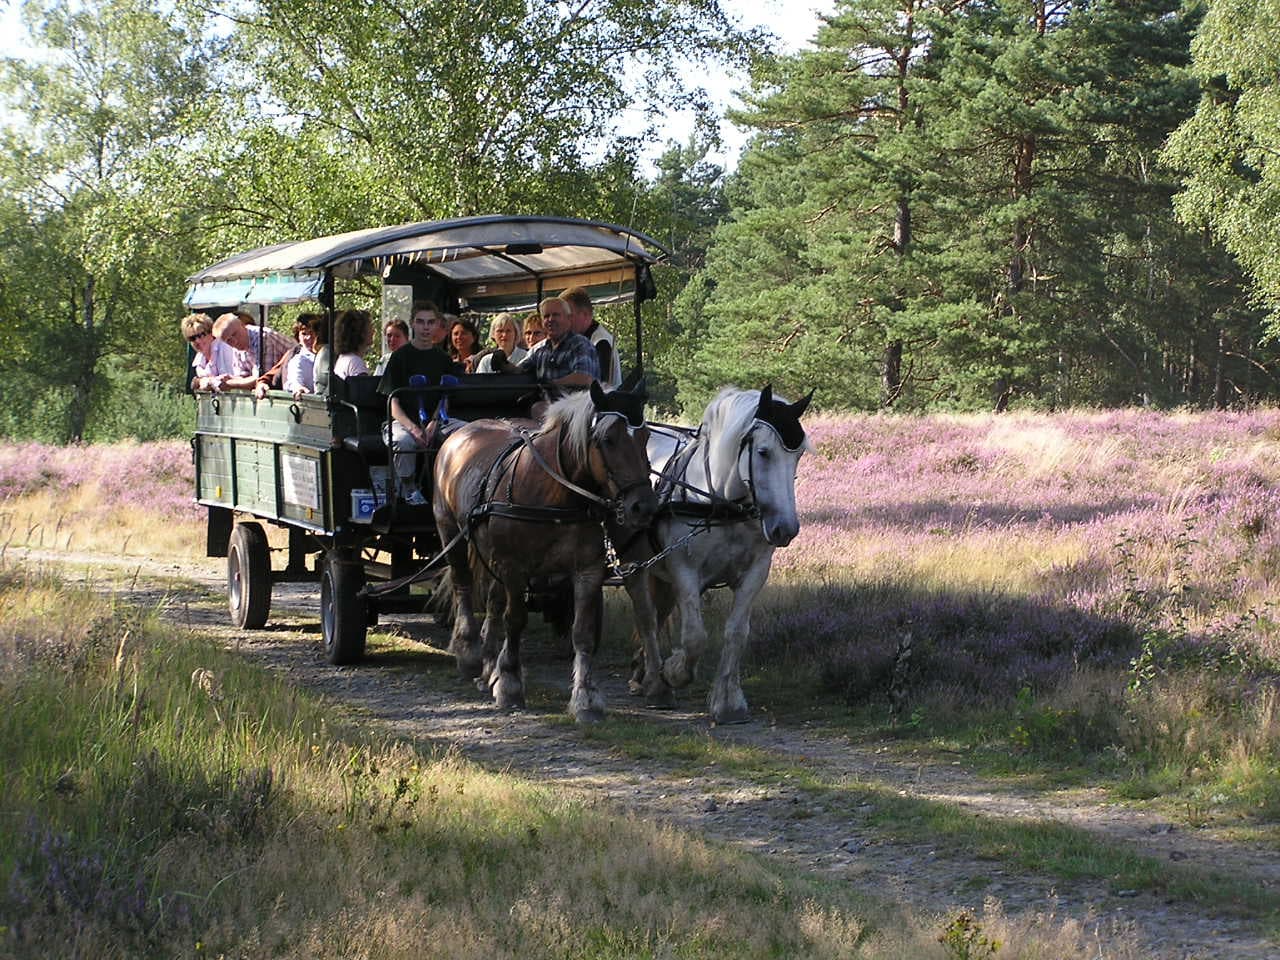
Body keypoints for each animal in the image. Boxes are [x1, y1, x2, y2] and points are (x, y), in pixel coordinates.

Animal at [435, 384, 655, 721]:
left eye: (645, 436)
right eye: (609, 439)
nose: (643, 507)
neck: (555, 494)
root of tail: (463, 429)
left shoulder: (587, 570)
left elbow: (582, 632)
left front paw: (585, 698)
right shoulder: (514, 567)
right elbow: (516, 619)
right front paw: (510, 683)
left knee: (493, 603)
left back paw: (488, 666)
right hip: (451, 532)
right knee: (464, 587)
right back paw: (469, 651)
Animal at [616, 384, 814, 721]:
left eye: (798, 455)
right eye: (763, 452)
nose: (785, 528)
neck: (722, 505)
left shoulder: (755, 573)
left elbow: (736, 633)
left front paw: (728, 701)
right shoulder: (685, 571)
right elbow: (695, 637)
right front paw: (674, 672)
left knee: (657, 614)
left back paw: (643, 674)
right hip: (635, 565)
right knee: (646, 617)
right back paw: (656, 684)